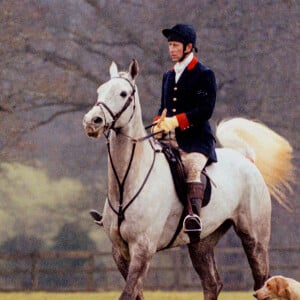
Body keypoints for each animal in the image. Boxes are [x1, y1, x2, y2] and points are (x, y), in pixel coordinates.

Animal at [82, 59, 296, 298]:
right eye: (100, 90)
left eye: (123, 93)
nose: (92, 122)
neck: (125, 182)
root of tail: (247, 160)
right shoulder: (119, 251)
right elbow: (135, 294)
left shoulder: (143, 247)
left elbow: (128, 293)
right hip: (202, 242)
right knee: (212, 283)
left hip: (254, 238)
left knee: (261, 279)